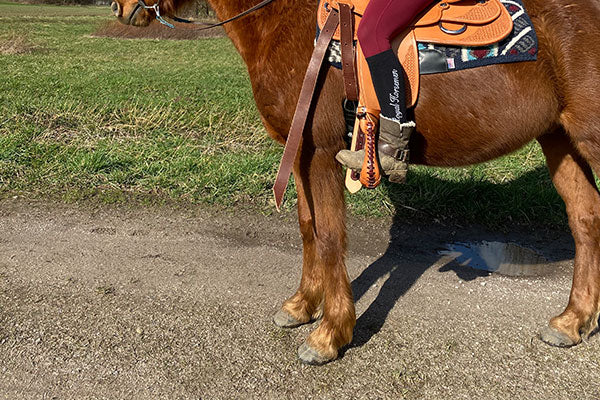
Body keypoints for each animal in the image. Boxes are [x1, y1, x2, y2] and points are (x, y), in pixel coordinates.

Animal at [110, 0, 600, 364]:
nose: (120, 6)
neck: (284, 23)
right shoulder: (301, 152)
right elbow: (308, 228)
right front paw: (301, 306)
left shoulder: (322, 152)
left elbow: (328, 236)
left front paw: (330, 333)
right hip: (560, 139)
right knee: (585, 219)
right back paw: (571, 320)